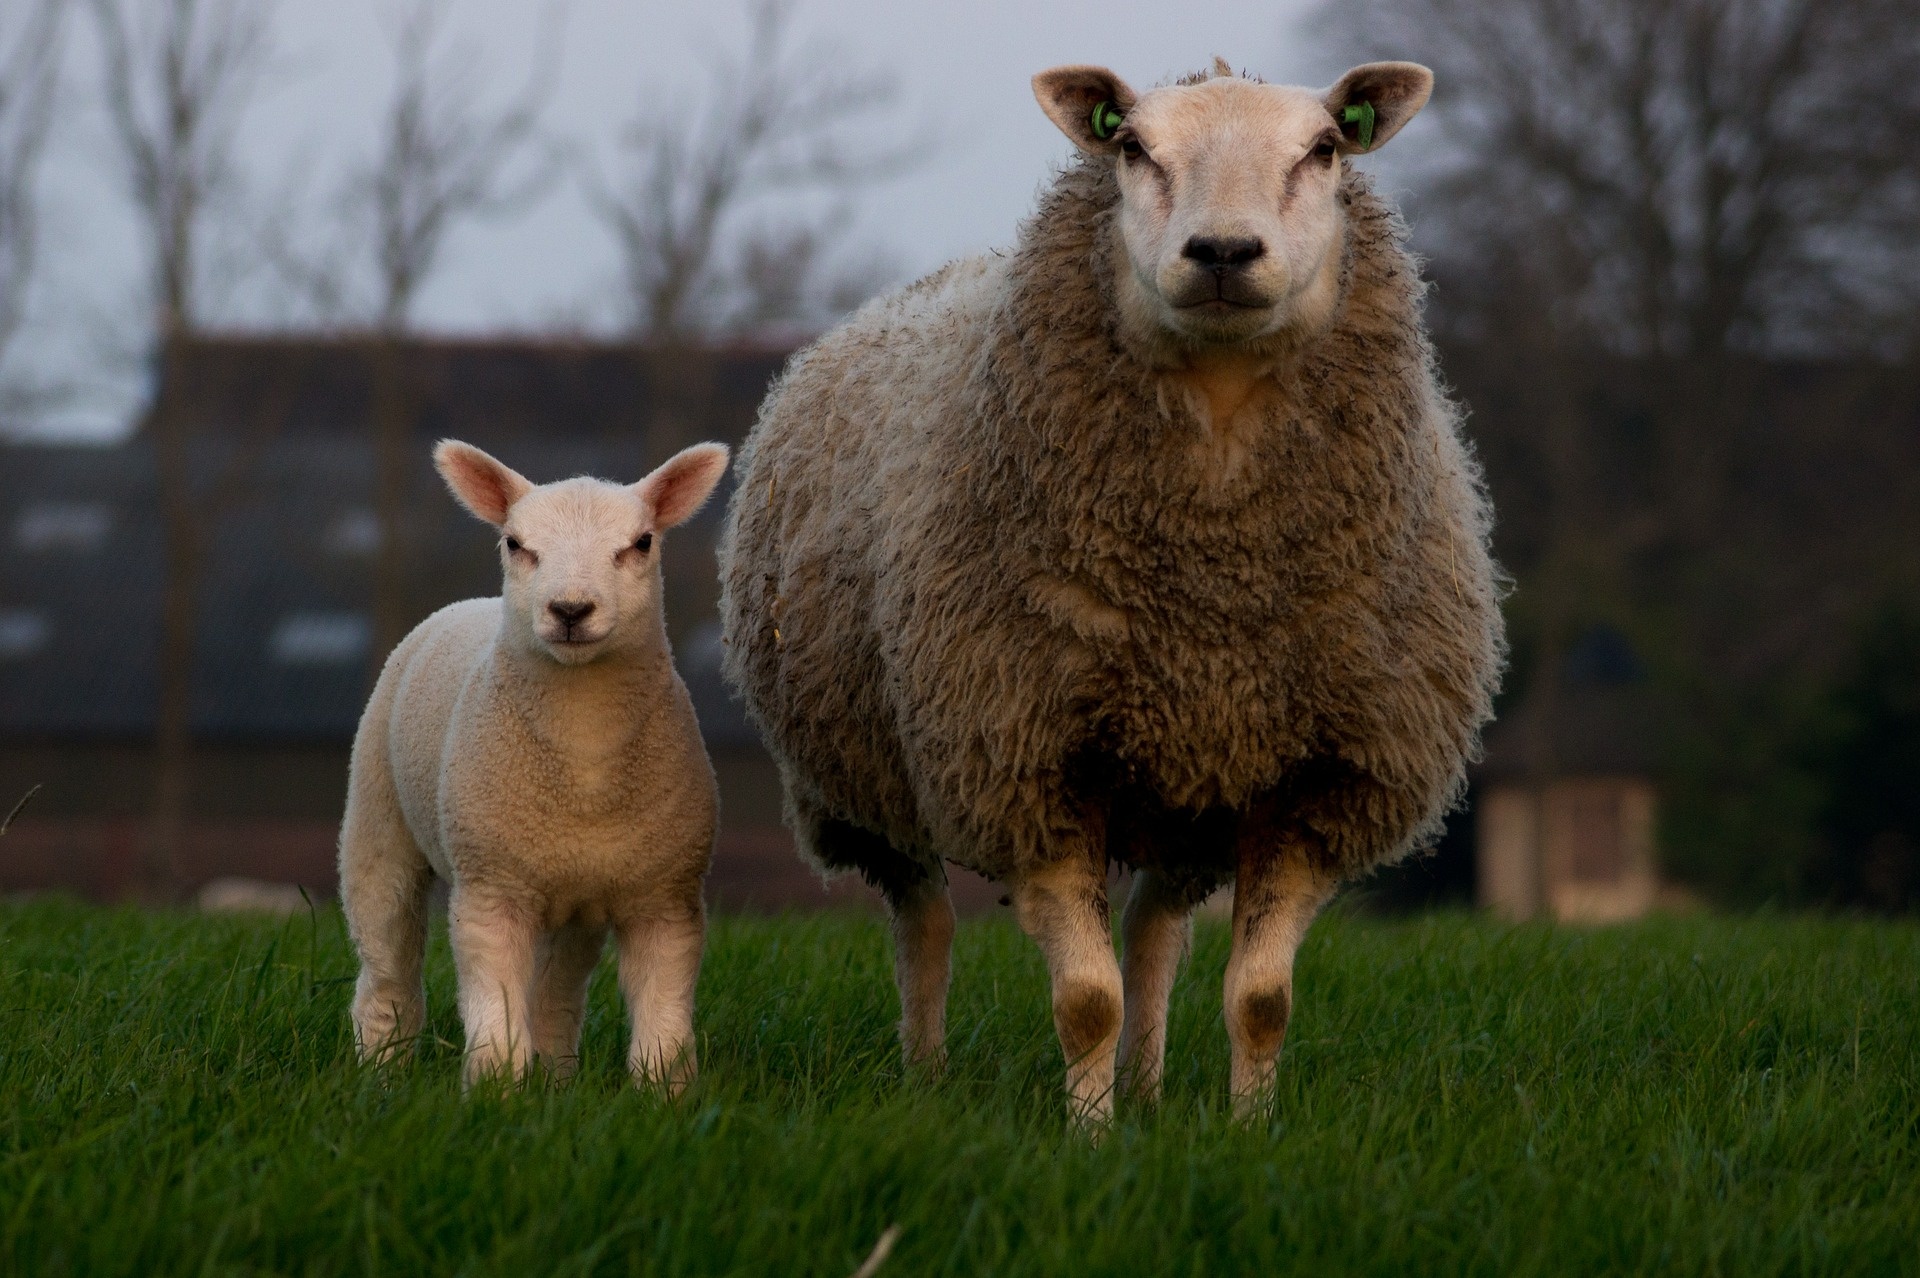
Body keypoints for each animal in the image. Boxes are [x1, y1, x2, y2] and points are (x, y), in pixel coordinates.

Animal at [337, 435, 725, 1082]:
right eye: (515, 543)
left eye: (642, 542)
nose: (570, 610)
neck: (585, 759)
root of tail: (470, 602)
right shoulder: (492, 889)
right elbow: (496, 1016)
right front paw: (495, 1091)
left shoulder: (665, 897)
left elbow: (663, 1025)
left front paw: (663, 1094)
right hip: (377, 817)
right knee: (386, 965)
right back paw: (381, 1071)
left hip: (575, 898)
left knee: (556, 994)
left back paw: (555, 1079)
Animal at [718, 59, 1497, 1112]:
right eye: (1132, 147)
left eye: (1326, 148)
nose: (1222, 251)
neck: (1214, 575)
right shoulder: (1026, 762)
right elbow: (1086, 1001)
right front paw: (1088, 1132)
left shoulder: (1313, 783)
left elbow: (1261, 1001)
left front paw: (1248, 1128)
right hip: (873, 773)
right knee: (925, 922)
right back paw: (928, 1078)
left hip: (1192, 783)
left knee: (1153, 930)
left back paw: (1152, 1088)